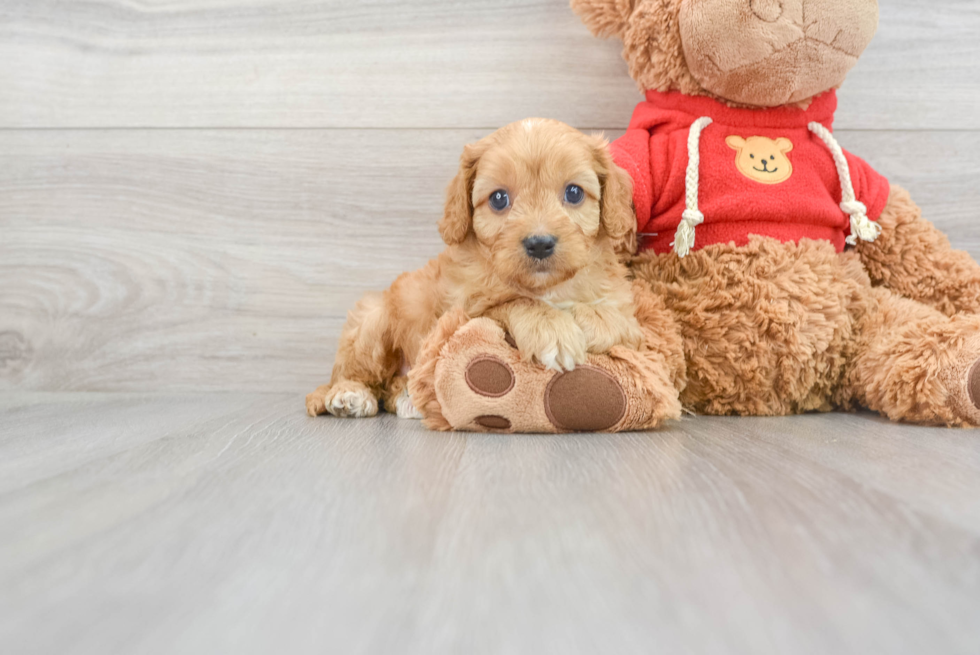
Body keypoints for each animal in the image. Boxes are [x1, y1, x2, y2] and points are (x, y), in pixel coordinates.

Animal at [308, 118, 644, 420]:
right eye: (498, 198)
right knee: (355, 373)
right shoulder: (461, 312)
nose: (539, 244)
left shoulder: (623, 306)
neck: (546, 287)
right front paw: (551, 328)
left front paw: (590, 319)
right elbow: (512, 302)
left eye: (574, 193)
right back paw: (349, 394)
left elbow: (619, 322)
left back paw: (409, 399)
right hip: (371, 319)